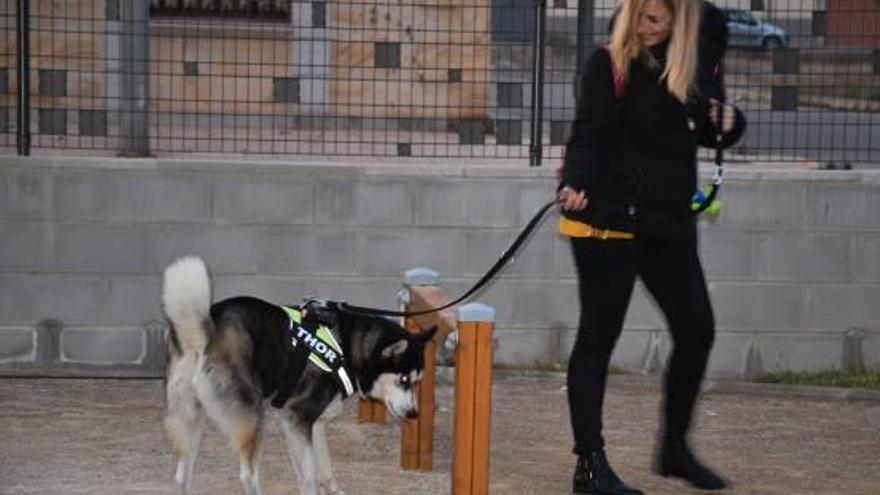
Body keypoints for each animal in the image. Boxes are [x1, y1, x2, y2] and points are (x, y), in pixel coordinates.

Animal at [162, 258, 436, 494]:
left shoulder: (316, 424)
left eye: (417, 381)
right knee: (248, 475)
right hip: (252, 419)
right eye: (403, 379)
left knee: (181, 476)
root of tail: (203, 332)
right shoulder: (295, 419)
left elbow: (324, 468)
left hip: (192, 418)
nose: (414, 413)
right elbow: (308, 478)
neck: (347, 346)